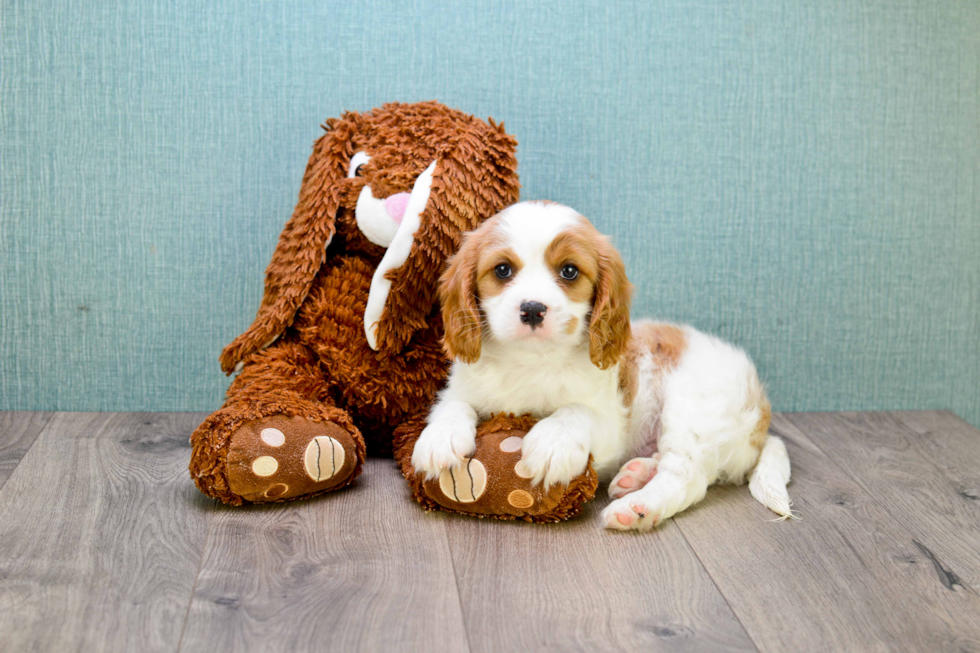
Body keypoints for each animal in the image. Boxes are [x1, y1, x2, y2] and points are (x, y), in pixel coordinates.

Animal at [410, 200, 792, 528]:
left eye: (569, 271)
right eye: (502, 270)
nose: (532, 308)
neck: (531, 359)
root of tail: (761, 404)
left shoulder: (611, 424)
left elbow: (578, 411)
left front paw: (552, 442)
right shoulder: (463, 387)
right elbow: (453, 405)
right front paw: (440, 438)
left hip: (693, 408)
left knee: (687, 474)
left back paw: (638, 507)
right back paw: (635, 475)